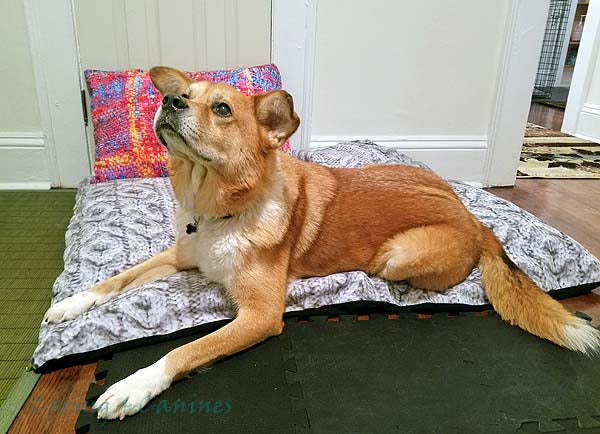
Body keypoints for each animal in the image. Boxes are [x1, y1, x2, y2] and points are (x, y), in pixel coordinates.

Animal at [43, 66, 600, 418]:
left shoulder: (260, 315)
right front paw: (69, 305)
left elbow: (184, 350)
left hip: (397, 255)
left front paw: (133, 386)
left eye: (221, 108)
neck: (217, 208)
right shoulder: (180, 255)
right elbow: (118, 278)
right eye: (186, 94)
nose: (169, 100)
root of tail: (475, 218)